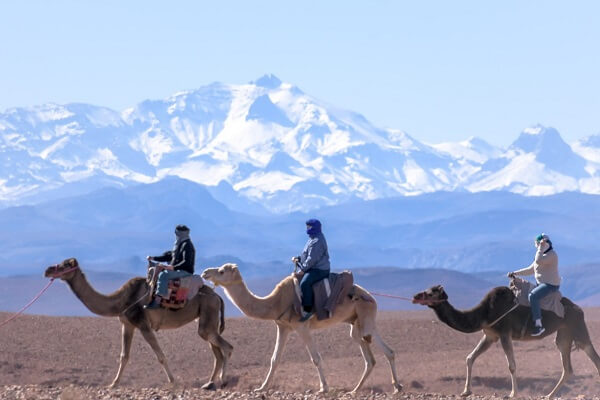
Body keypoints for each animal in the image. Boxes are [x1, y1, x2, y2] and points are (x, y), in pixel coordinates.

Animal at [43, 256, 232, 390]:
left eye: (66, 265)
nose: (47, 270)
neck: (120, 300)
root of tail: (218, 297)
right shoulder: (127, 324)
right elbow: (124, 356)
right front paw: (113, 384)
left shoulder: (143, 324)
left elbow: (160, 355)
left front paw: (173, 381)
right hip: (207, 320)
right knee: (216, 352)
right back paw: (209, 383)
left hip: (208, 313)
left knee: (226, 348)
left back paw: (222, 381)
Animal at [202, 262, 404, 394]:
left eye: (221, 271)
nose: (205, 273)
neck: (275, 302)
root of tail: (372, 297)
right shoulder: (283, 327)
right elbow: (275, 359)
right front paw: (262, 387)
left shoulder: (302, 327)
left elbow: (316, 358)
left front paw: (324, 388)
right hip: (357, 324)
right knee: (373, 357)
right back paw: (357, 390)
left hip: (366, 318)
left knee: (383, 351)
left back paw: (395, 387)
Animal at [412, 282, 600, 398]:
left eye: (430, 292)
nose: (415, 296)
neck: (484, 312)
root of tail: (579, 308)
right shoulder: (490, 335)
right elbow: (470, 357)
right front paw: (466, 391)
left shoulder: (504, 333)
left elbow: (511, 365)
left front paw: (512, 394)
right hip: (564, 333)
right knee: (567, 367)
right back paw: (549, 395)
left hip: (577, 325)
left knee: (592, 355)